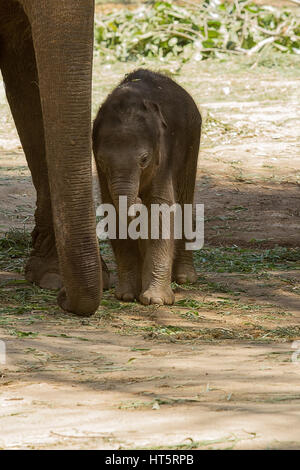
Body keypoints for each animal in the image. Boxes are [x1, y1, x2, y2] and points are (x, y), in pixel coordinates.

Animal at [93, 69, 202, 304]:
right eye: (103, 161)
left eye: (144, 159)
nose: (138, 199)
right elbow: (112, 210)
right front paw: (126, 296)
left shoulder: (164, 158)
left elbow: (160, 211)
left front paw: (155, 301)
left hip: (193, 137)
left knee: (185, 198)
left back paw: (185, 278)